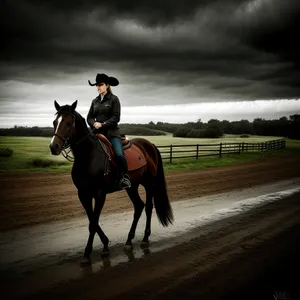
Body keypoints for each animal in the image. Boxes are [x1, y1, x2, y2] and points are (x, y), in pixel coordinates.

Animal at [49, 100, 173, 264]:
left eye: (69, 123)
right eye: (54, 122)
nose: (53, 147)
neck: (88, 157)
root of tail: (150, 145)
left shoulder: (100, 194)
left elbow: (93, 223)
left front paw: (87, 254)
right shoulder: (83, 194)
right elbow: (92, 221)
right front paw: (105, 245)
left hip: (149, 183)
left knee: (148, 207)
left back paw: (145, 238)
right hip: (132, 186)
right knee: (139, 206)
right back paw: (129, 240)